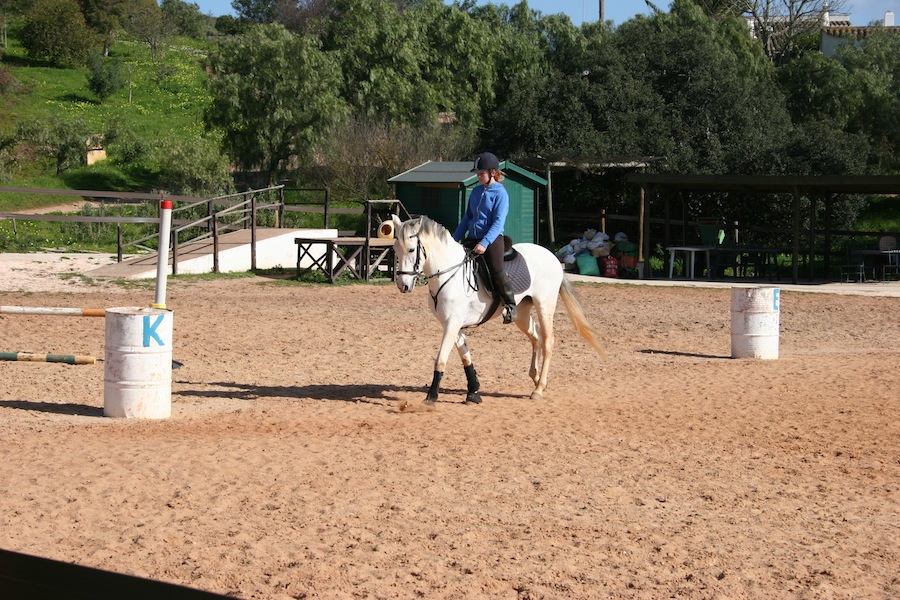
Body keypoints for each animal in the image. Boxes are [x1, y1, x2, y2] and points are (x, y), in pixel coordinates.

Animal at [390, 214, 605, 405]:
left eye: (411, 249)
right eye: (395, 249)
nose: (403, 285)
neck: (448, 272)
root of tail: (552, 257)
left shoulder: (452, 324)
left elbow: (441, 359)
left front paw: (431, 396)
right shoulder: (452, 324)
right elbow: (465, 356)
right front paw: (473, 391)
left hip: (545, 306)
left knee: (547, 341)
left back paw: (539, 389)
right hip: (521, 313)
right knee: (535, 336)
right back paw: (535, 378)